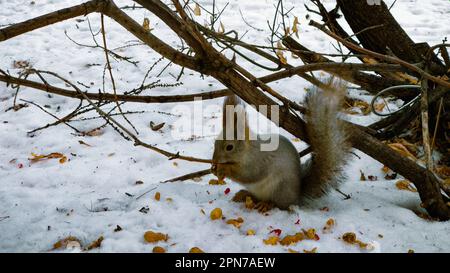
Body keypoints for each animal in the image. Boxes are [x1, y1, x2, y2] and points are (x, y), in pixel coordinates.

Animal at [211, 84, 352, 211]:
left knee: (280, 204)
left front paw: (224, 169)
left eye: (229, 147)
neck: (248, 150)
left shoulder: (259, 161)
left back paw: (267, 204)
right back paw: (244, 195)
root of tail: (296, 197)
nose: (214, 160)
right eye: (215, 143)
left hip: (280, 188)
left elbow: (249, 175)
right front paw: (214, 170)